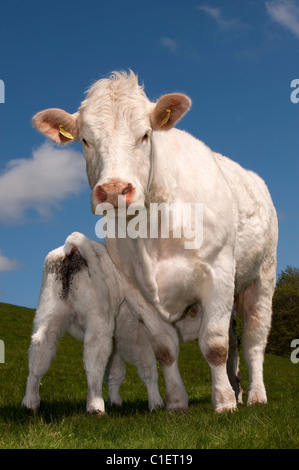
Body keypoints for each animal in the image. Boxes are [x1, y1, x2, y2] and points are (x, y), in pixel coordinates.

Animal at [32, 71, 278, 414]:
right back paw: (238, 388)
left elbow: (214, 345)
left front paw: (224, 402)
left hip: (261, 278)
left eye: (145, 135)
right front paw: (176, 401)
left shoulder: (218, 273)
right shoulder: (136, 291)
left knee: (254, 340)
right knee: (235, 342)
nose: (113, 190)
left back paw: (254, 395)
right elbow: (165, 348)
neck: (152, 229)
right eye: (85, 140)